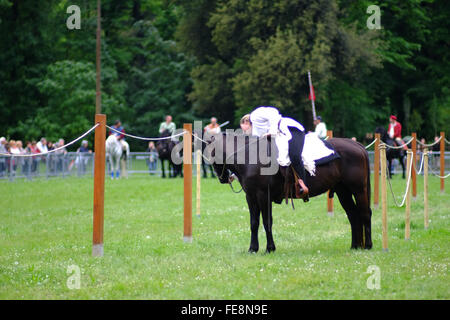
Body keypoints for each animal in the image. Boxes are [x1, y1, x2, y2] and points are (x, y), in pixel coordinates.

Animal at [207, 132, 372, 252]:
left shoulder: (263, 196)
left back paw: (368, 246)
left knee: (365, 213)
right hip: (343, 191)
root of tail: (357, 145)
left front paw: (270, 248)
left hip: (359, 190)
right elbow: (254, 223)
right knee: (353, 215)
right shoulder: (251, 197)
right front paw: (253, 248)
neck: (251, 157)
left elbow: (267, 222)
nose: (223, 177)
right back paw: (354, 246)